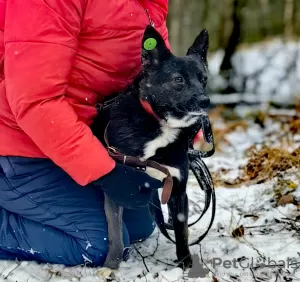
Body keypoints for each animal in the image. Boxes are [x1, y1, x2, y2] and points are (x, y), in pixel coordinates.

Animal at [91, 25, 211, 270]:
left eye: (203, 79)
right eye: (178, 79)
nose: (205, 102)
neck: (159, 123)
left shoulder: (177, 189)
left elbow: (182, 233)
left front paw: (185, 263)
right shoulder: (118, 186)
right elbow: (116, 235)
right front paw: (111, 267)